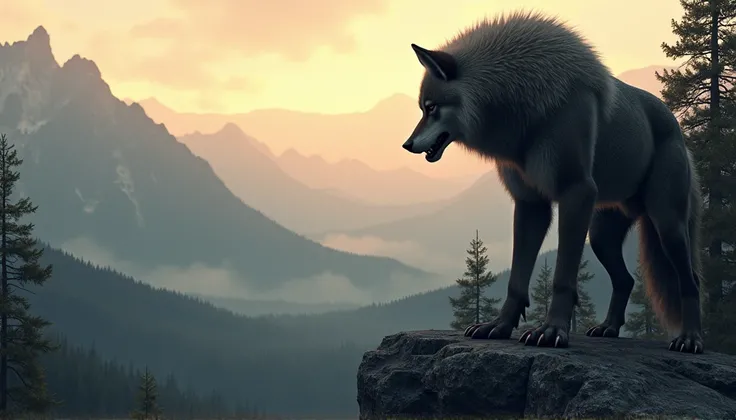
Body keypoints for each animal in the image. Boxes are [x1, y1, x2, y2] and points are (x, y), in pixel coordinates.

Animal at [402, 12, 708, 354]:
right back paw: (608, 328)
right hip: (601, 236)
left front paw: (551, 331)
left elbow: (562, 278)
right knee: (626, 280)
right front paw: (499, 326)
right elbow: (517, 279)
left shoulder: (576, 193)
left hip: (667, 226)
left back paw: (690, 339)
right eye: (422, 108)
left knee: (691, 281)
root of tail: (679, 131)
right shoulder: (531, 204)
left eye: (431, 107)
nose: (407, 144)